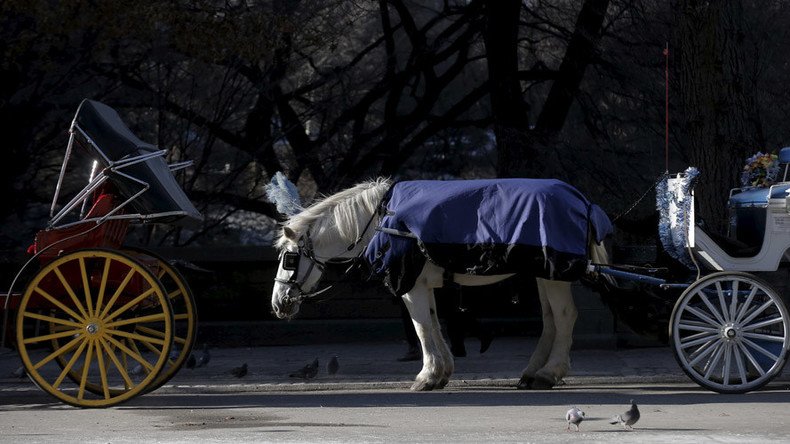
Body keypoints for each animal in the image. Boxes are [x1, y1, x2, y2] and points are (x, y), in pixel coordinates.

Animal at [272, 179, 612, 390]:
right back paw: (531, 373)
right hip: (545, 274)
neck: (383, 219)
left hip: (554, 274)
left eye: (289, 258)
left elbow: (422, 327)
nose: (278, 303)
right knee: (551, 319)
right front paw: (441, 371)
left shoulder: (411, 285)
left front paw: (427, 375)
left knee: (565, 316)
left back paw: (548, 373)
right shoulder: (423, 284)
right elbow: (434, 324)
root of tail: (581, 200)